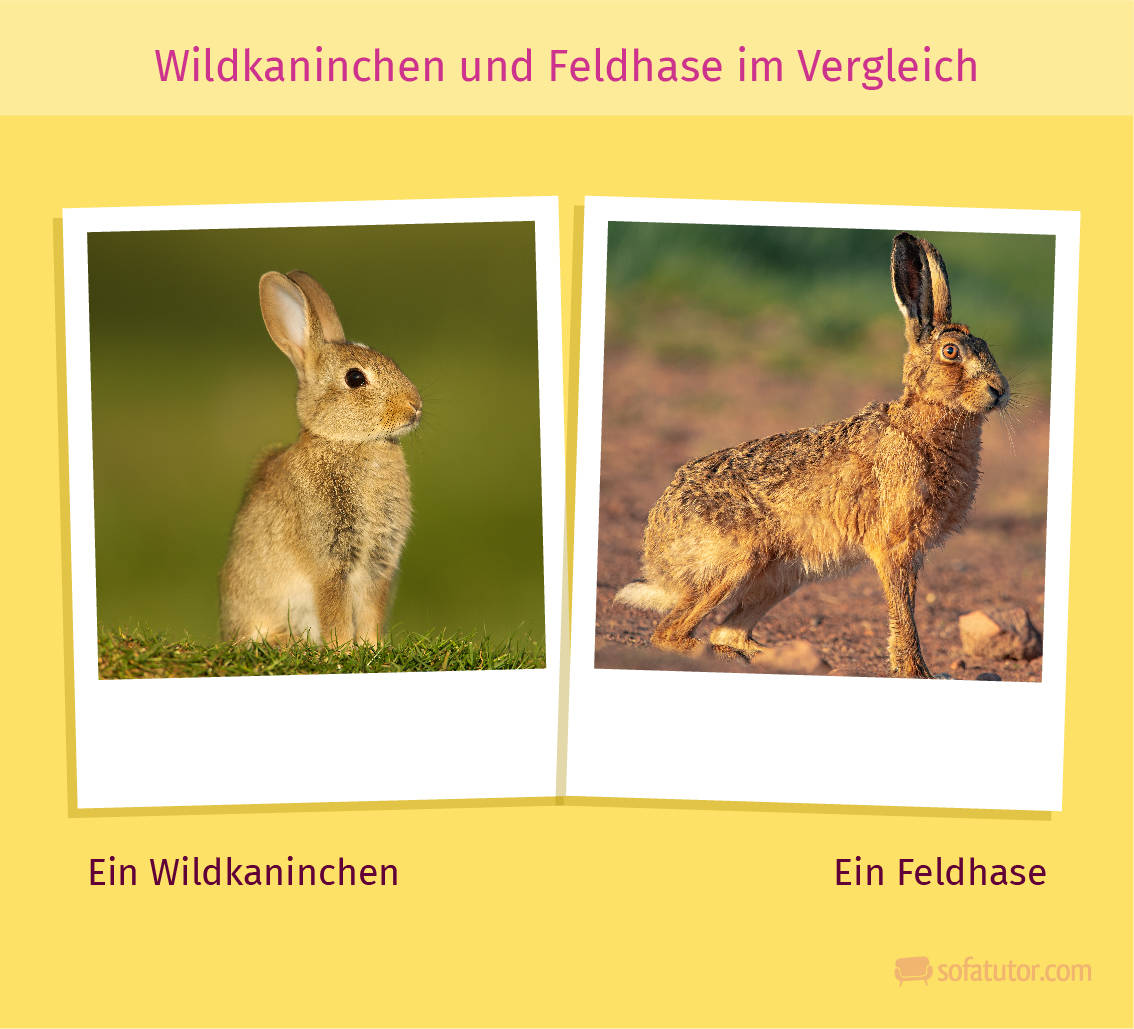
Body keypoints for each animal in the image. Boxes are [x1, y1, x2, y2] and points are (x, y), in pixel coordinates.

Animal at [219, 270, 422, 646]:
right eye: (355, 378)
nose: (414, 406)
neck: (350, 442)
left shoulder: (379, 564)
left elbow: (371, 610)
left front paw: (372, 647)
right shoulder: (328, 559)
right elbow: (334, 608)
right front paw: (343, 650)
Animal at [614, 233, 1009, 679]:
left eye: (985, 347)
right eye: (951, 352)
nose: (1000, 391)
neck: (920, 423)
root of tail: (657, 558)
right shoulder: (895, 547)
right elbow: (903, 612)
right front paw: (917, 673)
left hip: (784, 576)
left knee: (727, 632)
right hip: (738, 559)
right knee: (672, 634)